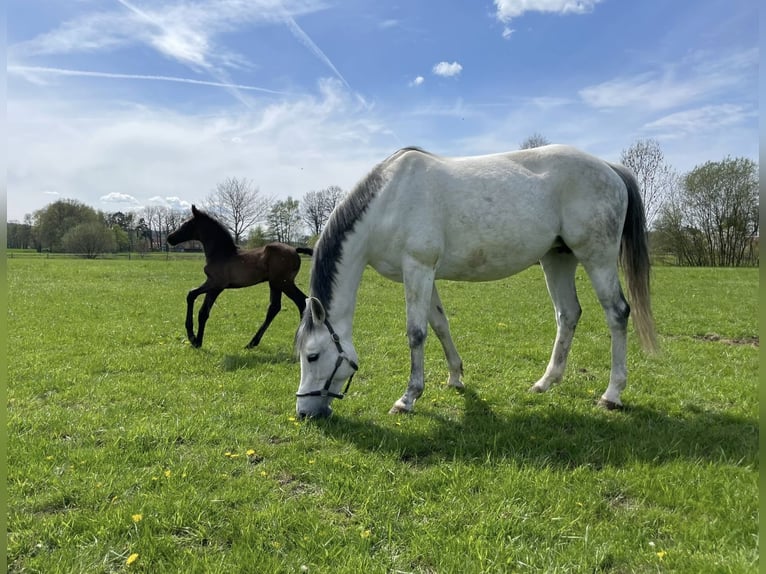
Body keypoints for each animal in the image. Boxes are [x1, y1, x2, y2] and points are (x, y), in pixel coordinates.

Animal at [296, 146, 656, 420]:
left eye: (312, 356)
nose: (303, 412)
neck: (388, 201)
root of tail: (609, 167)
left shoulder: (418, 268)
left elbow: (416, 333)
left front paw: (408, 398)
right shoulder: (423, 274)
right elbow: (440, 325)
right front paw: (455, 377)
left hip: (597, 256)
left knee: (617, 313)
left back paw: (612, 394)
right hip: (558, 258)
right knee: (567, 314)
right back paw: (544, 383)